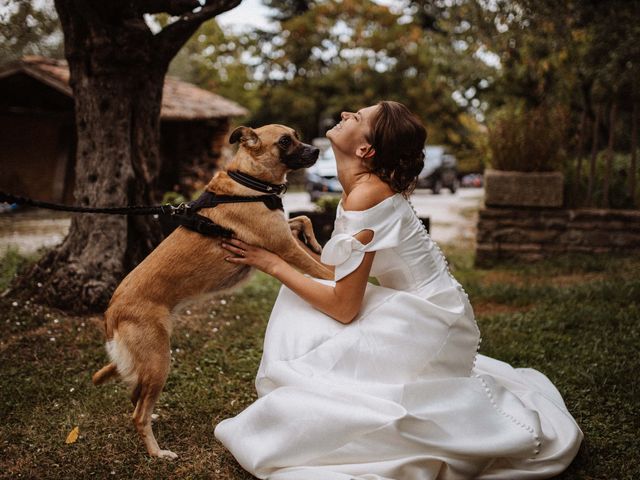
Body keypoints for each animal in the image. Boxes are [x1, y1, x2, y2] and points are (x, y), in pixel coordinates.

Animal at [92, 125, 332, 460]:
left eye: (296, 135)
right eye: (285, 141)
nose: (317, 151)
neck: (248, 183)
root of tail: (111, 312)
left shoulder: (284, 236)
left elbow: (304, 219)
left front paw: (317, 241)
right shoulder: (285, 248)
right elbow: (321, 269)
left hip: (148, 363)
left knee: (135, 397)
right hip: (158, 360)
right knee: (137, 414)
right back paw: (157, 453)